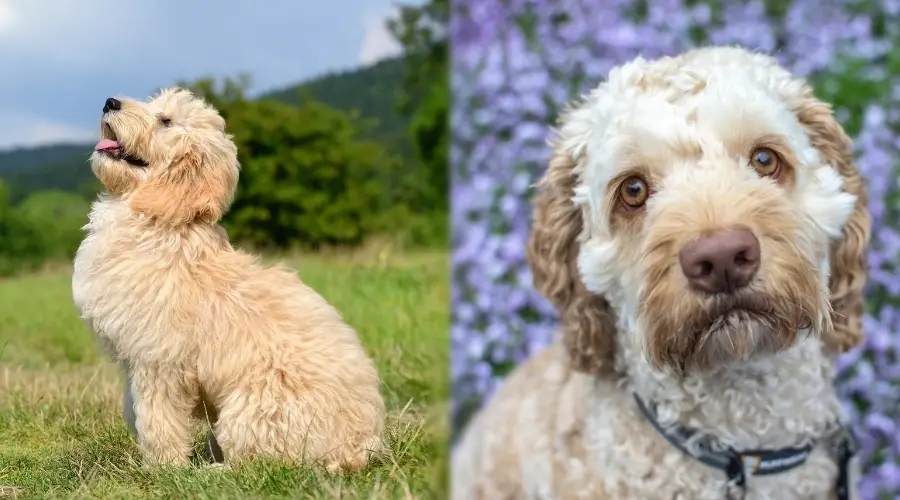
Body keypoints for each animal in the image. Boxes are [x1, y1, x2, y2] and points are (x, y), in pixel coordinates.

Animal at [73, 89, 386, 468]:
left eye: (166, 121)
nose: (110, 102)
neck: (161, 222)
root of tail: (360, 447)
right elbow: (134, 409)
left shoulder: (159, 361)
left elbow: (156, 416)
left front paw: (162, 466)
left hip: (252, 408)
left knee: (251, 464)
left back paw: (209, 471)